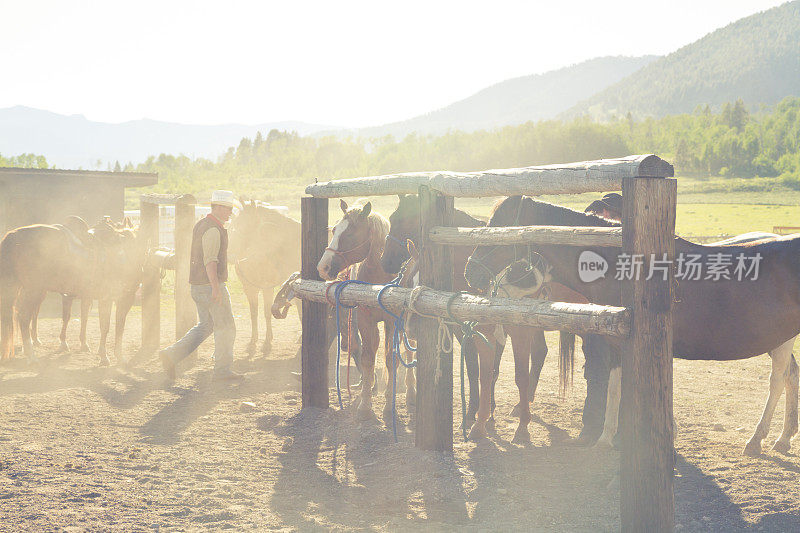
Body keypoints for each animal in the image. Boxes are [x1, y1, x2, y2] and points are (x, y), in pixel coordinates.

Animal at [1, 216, 145, 362]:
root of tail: (14, 235)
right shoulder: (117, 298)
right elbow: (110, 325)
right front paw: (109, 356)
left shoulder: (89, 297)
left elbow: (86, 318)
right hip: (33, 290)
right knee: (25, 317)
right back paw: (31, 355)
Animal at [230, 198, 302, 354]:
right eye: (234, 224)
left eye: (247, 226)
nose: (230, 255)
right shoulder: (249, 288)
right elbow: (254, 314)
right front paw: (253, 342)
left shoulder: (267, 287)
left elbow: (267, 312)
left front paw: (267, 342)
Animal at [316, 197, 396, 422]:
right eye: (334, 230)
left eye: (350, 233)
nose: (323, 267)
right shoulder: (365, 321)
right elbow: (368, 359)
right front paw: (365, 405)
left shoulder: (393, 322)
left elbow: (390, 359)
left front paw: (389, 407)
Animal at [466, 197, 796, 456]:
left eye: (500, 228)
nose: (471, 272)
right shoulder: (619, 343)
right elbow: (617, 388)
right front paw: (612, 438)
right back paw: (780, 439)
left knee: (778, 379)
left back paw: (757, 440)